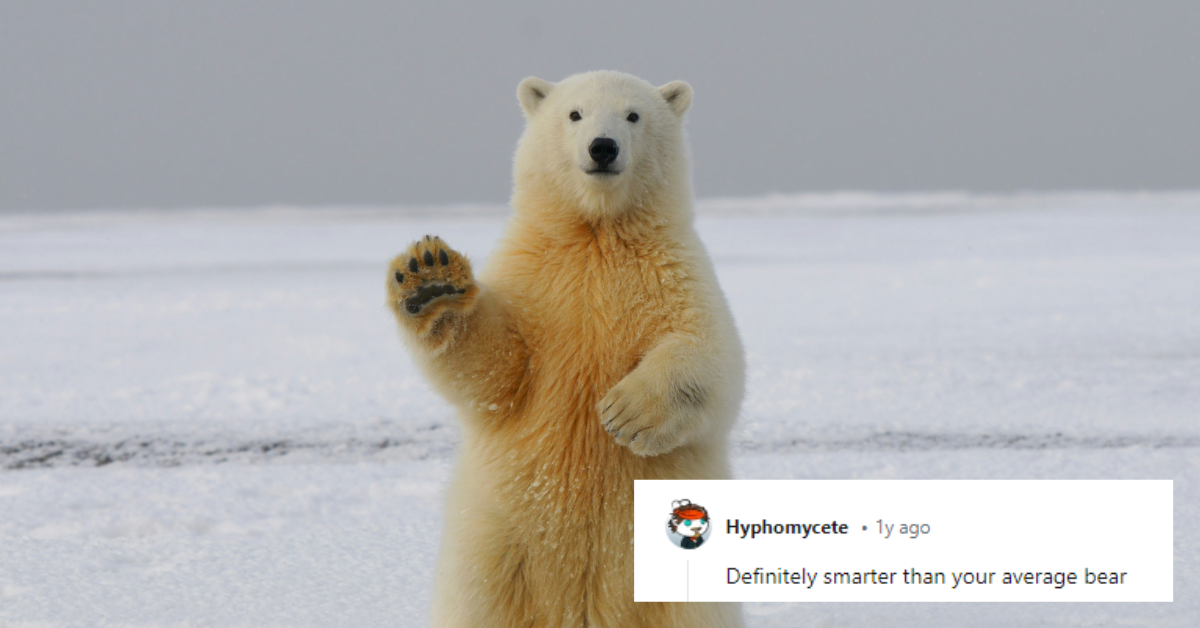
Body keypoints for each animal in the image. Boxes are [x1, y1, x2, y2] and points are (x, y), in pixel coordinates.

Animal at [386, 71, 739, 628]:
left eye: (633, 114)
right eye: (575, 114)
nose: (603, 146)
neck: (596, 233)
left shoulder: (675, 274)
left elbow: (710, 356)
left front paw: (624, 413)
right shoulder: (534, 279)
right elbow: (496, 368)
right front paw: (430, 279)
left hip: (675, 589)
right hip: (492, 547)